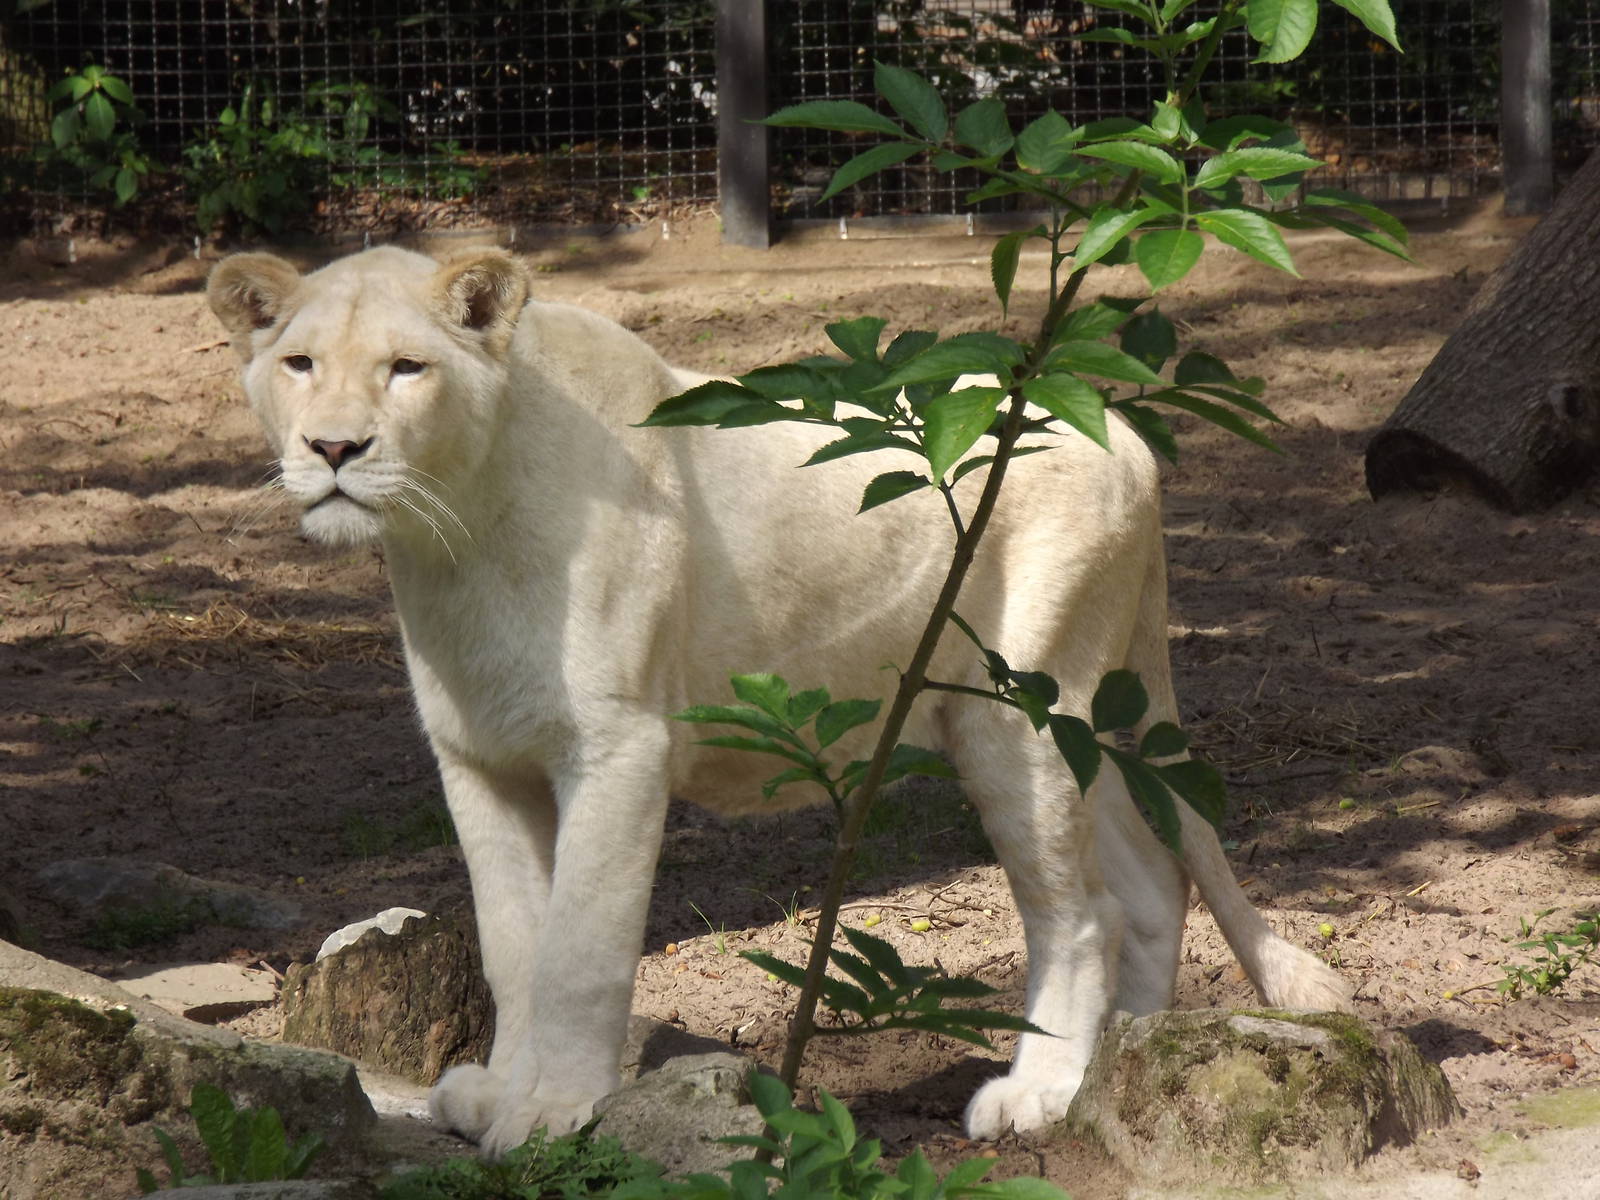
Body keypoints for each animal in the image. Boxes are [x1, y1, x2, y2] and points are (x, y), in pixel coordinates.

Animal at [207, 245, 1352, 1156]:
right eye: (298, 364)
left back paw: (1040, 1095)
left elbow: (580, 949)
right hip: (1088, 714)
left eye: (407, 369)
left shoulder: (618, 749)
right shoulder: (480, 761)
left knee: (1087, 912)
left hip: (1016, 708)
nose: (334, 450)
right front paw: (498, 1094)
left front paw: (557, 1110)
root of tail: (1122, 431)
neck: (452, 536)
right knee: (1156, 885)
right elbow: (512, 944)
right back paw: (1124, 1067)